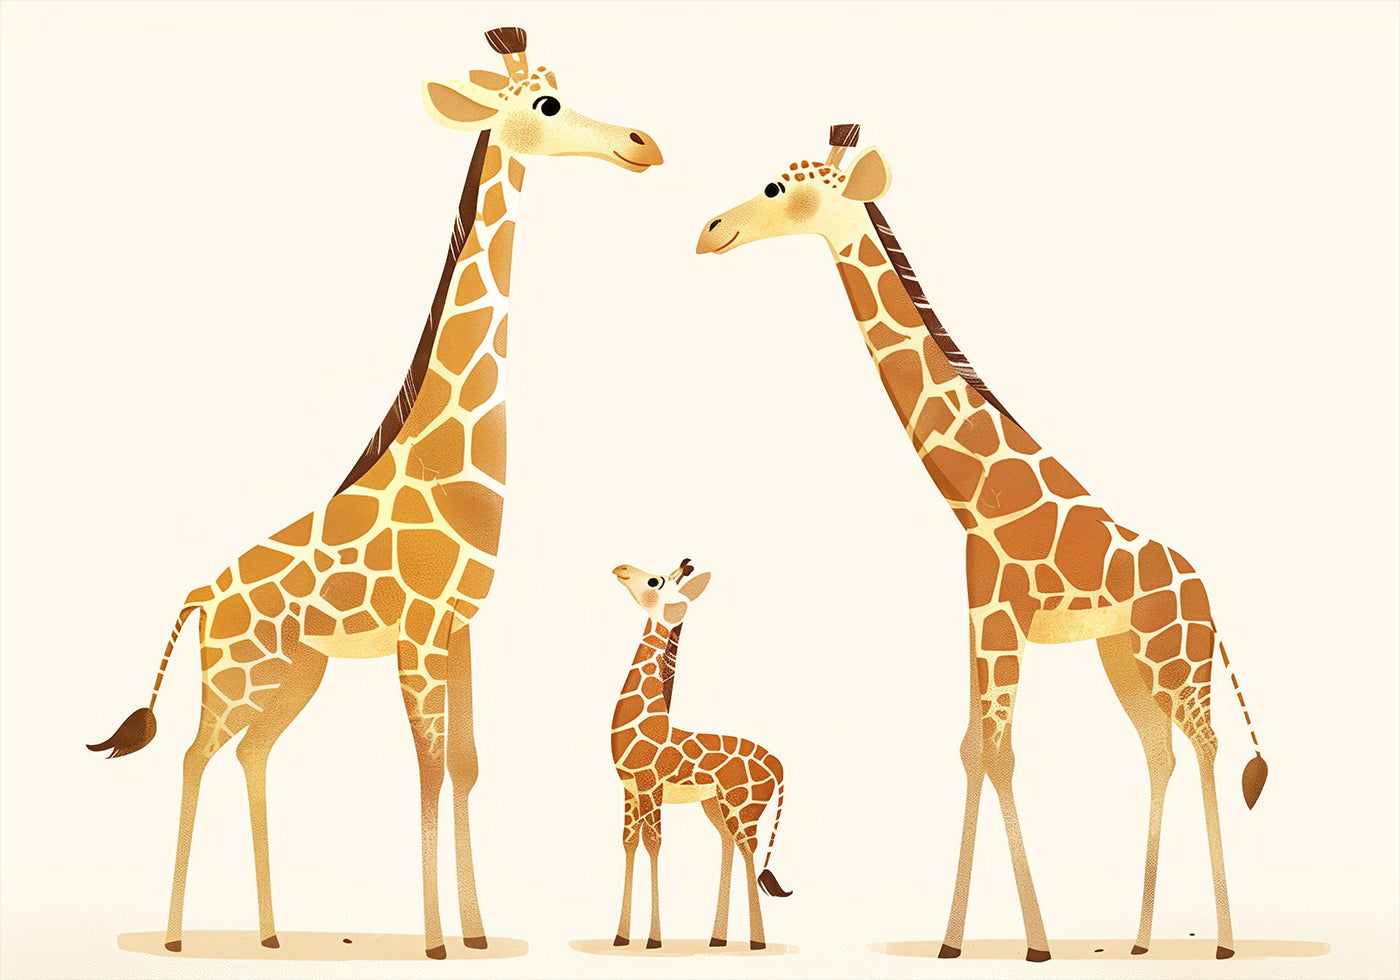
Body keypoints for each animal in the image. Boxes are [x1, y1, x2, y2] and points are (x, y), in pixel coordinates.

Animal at [86, 27, 662, 959]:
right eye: (546, 103)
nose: (641, 145)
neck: (441, 458)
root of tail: (201, 593)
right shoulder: (421, 632)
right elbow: (426, 771)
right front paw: (433, 942)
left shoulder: (462, 628)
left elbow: (466, 765)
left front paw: (475, 935)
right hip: (237, 673)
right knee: (194, 756)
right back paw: (174, 938)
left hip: (296, 673)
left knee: (251, 756)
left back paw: (271, 934)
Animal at [609, 560, 793, 951]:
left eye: (655, 580)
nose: (621, 568)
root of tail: (779, 766)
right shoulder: (628, 789)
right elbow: (629, 844)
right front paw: (620, 937)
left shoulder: (651, 786)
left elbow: (653, 844)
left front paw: (654, 940)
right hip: (716, 805)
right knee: (728, 844)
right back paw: (717, 939)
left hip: (745, 807)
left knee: (749, 849)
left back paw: (756, 943)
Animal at [694, 124, 1268, 961]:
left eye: (777, 188)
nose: (711, 231)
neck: (975, 496)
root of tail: (1206, 592)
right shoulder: (979, 611)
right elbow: (972, 750)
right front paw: (952, 941)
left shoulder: (1004, 615)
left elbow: (999, 753)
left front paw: (1035, 943)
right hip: (1122, 656)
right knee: (1158, 751)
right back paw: (1138, 940)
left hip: (1177, 656)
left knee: (1209, 745)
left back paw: (1222, 941)